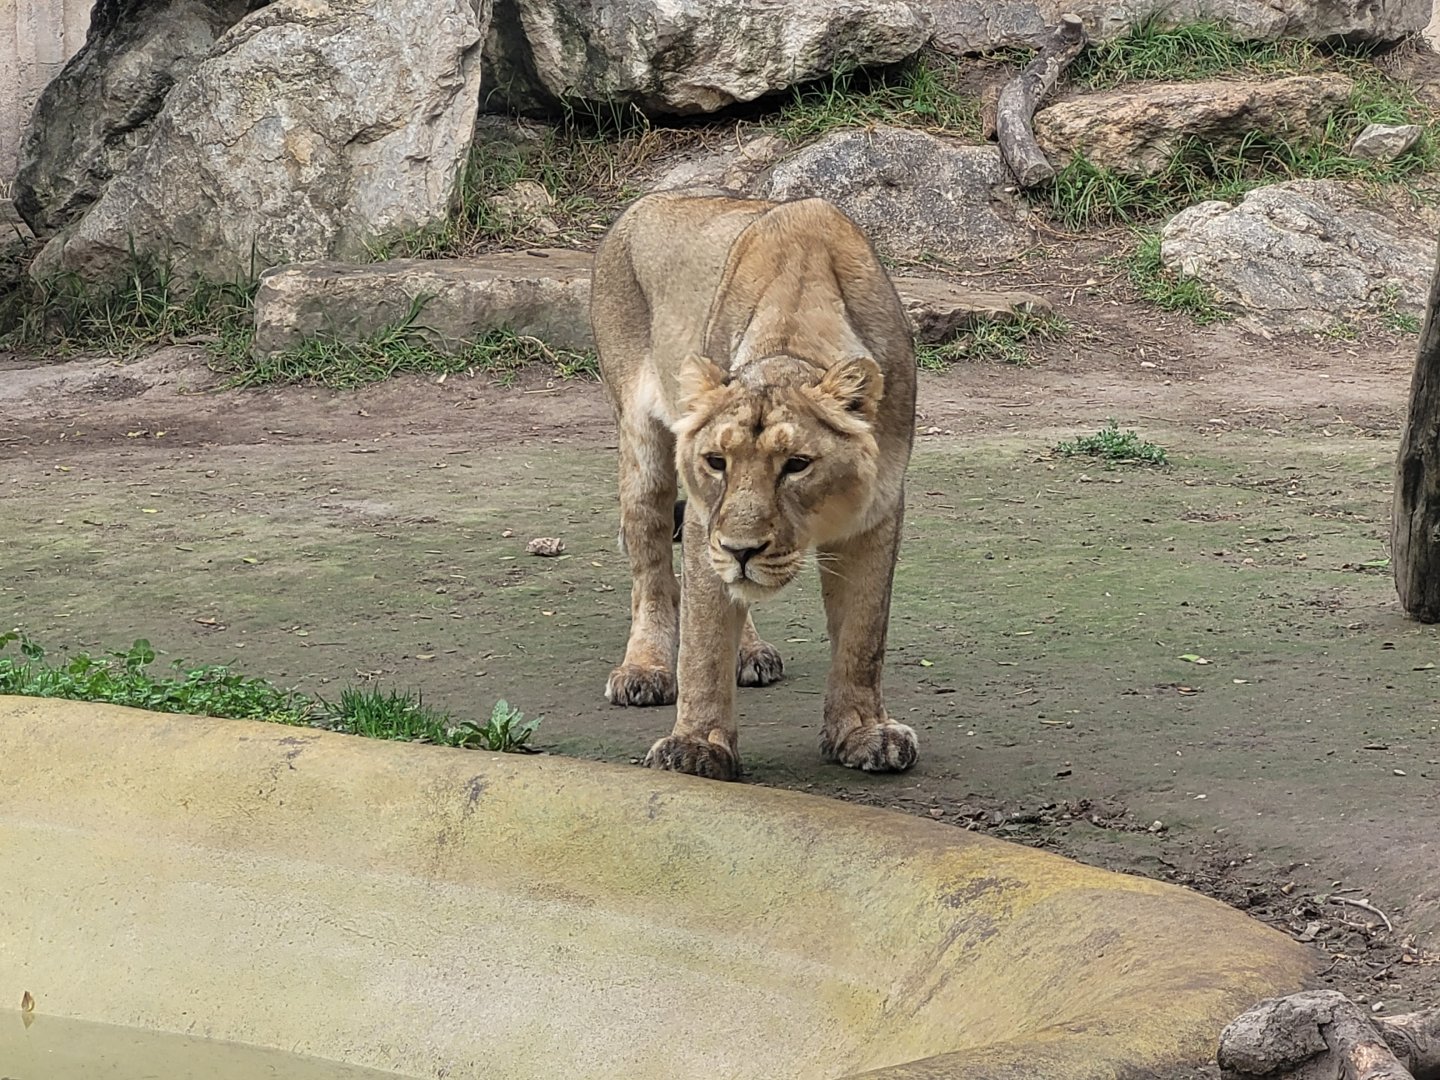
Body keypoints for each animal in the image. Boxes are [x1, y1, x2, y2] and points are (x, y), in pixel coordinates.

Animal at [590, 190, 917, 781]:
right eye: (717, 461)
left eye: (797, 464)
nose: (742, 550)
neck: (791, 341)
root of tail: (646, 200)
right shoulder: (705, 515)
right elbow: (701, 644)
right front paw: (696, 746)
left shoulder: (877, 511)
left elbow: (863, 635)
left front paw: (864, 733)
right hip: (641, 446)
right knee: (652, 568)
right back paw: (644, 668)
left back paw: (748, 650)